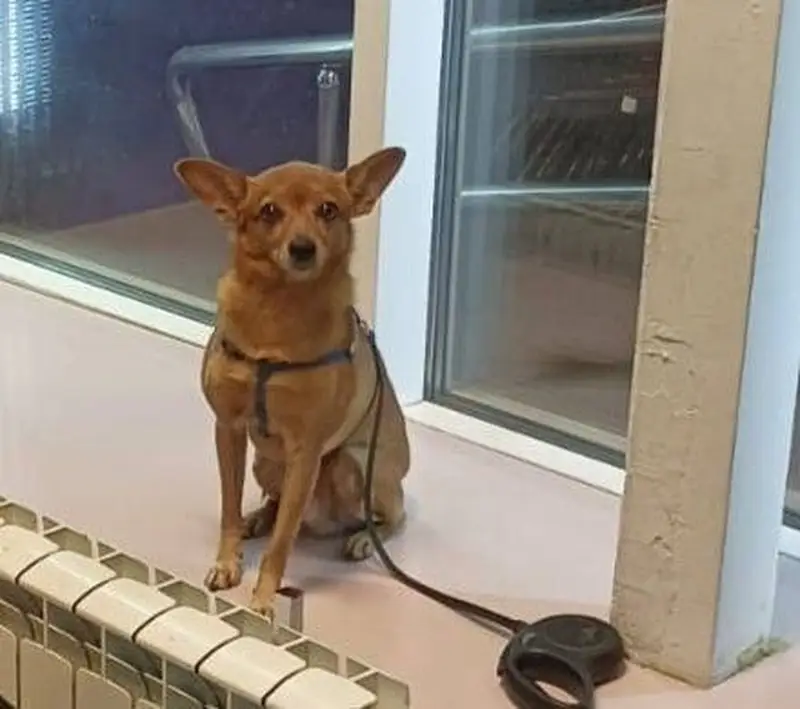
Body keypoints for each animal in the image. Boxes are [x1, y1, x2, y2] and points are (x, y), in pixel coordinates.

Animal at [174, 147, 410, 616]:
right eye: (269, 211)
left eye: (329, 209)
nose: (302, 249)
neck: (276, 317)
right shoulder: (228, 429)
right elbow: (228, 508)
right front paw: (228, 561)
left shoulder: (307, 451)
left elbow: (282, 542)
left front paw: (265, 598)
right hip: (266, 463)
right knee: (276, 502)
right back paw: (258, 517)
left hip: (353, 465)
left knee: (390, 517)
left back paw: (362, 538)